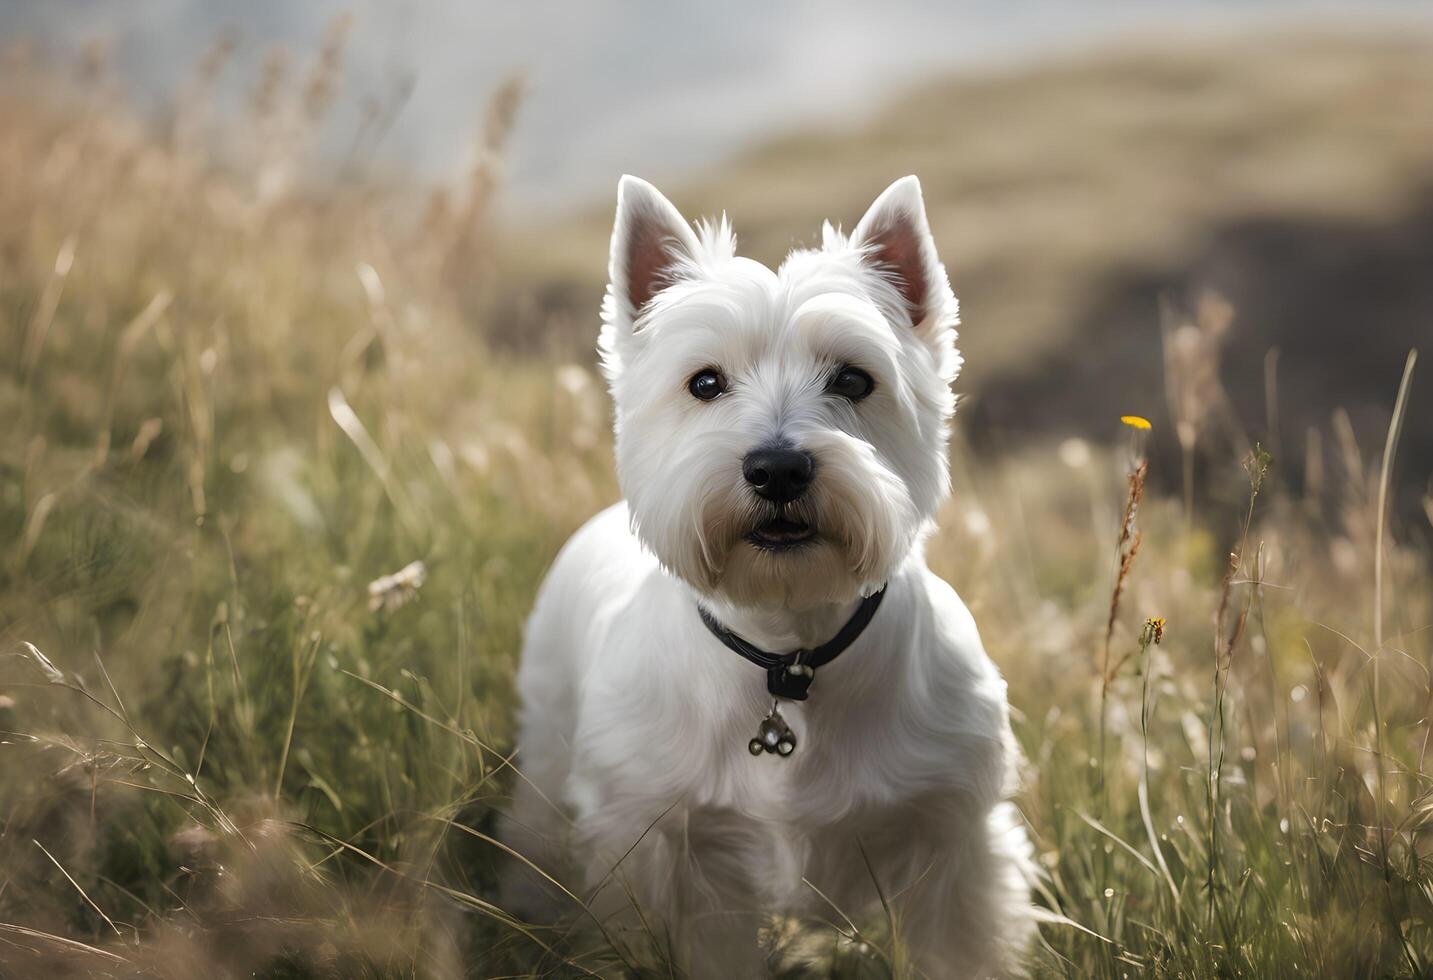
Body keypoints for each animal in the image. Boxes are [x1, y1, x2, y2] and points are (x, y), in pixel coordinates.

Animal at [501, 177, 1031, 980]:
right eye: (705, 382)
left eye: (854, 378)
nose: (777, 469)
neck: (788, 647)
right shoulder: (659, 849)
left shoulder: (952, 841)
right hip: (549, 731)